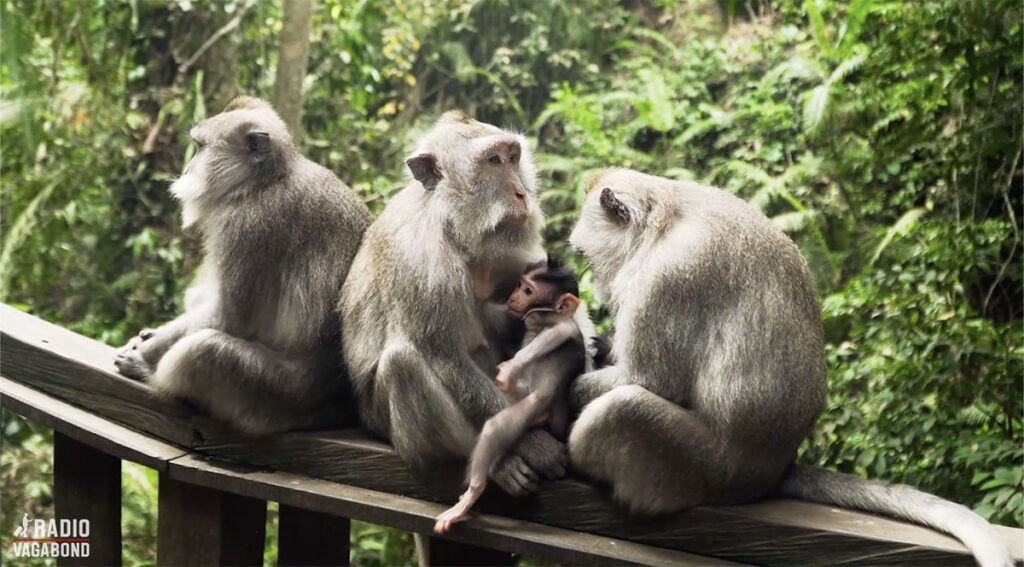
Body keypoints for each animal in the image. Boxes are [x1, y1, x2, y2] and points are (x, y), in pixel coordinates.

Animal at [114, 97, 370, 431]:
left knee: (203, 350)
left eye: (200, 147)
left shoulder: (247, 227)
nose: (187, 169)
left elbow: (229, 319)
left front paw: (146, 352)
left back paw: (151, 374)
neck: (263, 182)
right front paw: (149, 338)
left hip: (271, 396)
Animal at [339, 108, 573, 495]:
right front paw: (534, 443)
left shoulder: (512, 251)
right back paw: (498, 464)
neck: (452, 227)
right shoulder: (418, 262)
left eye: (513, 157)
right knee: (402, 364)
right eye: (493, 161)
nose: (521, 193)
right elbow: (444, 356)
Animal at [434, 257, 589, 532]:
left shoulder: (550, 318)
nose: (514, 296)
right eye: (518, 285)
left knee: (496, 427)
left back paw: (473, 493)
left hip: (537, 407)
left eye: (528, 290)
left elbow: (559, 332)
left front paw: (509, 369)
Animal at [569, 166, 1007, 564]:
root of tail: (774, 469)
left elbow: (651, 380)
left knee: (622, 409)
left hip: (707, 467)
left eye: (587, 256)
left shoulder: (667, 278)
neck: (663, 222)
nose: (596, 289)